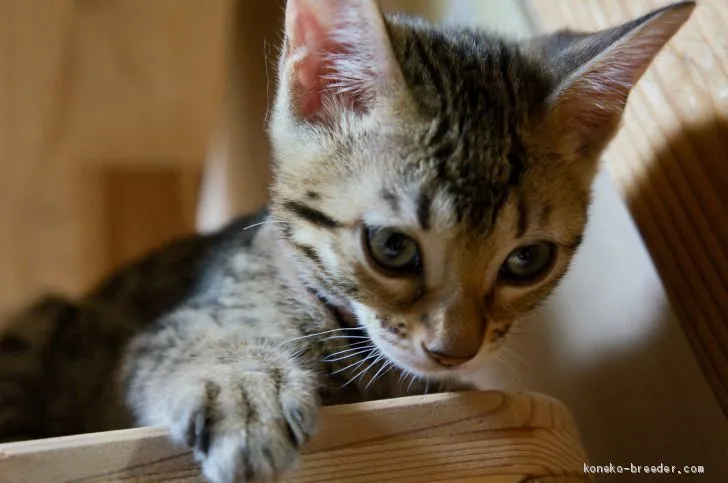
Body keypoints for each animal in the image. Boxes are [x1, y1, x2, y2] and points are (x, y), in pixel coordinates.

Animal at [0, 0, 692, 482]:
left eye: (527, 260)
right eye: (392, 248)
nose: (454, 351)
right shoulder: (152, 338)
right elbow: (191, 342)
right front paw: (245, 388)